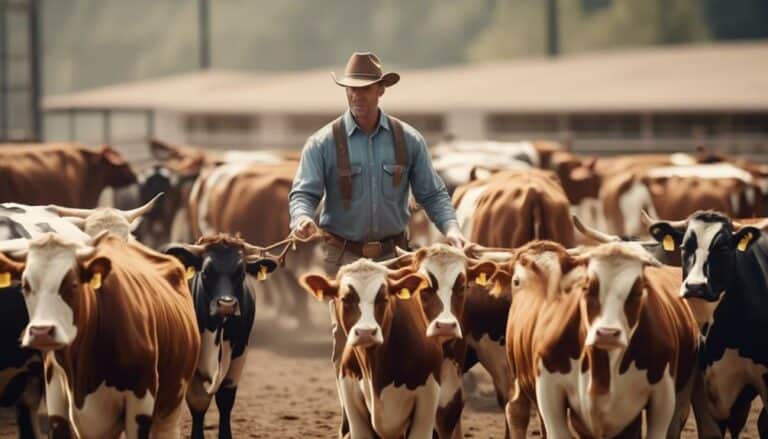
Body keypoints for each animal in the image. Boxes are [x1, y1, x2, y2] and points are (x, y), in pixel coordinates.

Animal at [0, 232, 201, 438]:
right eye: (25, 286)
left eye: (73, 284)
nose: (41, 332)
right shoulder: (56, 394)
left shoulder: (141, 400)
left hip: (171, 405)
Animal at [164, 235, 278, 439]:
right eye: (206, 272)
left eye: (241, 273)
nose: (226, 305)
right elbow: (198, 402)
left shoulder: (240, 352)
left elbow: (225, 399)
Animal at [488, 241, 700, 439]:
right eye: (587, 288)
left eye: (638, 292)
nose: (607, 333)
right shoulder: (549, 393)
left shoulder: (663, 400)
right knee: (517, 410)